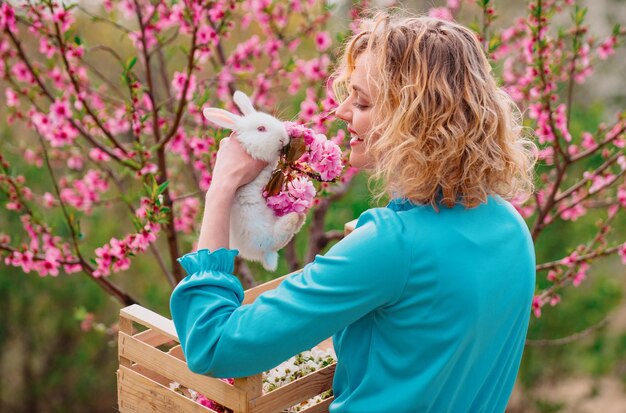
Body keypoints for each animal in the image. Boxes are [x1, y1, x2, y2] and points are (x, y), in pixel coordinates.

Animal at [202, 90, 304, 270]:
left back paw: (300, 216)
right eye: (261, 129)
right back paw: (293, 218)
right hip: (261, 234)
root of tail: (265, 256)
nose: (283, 139)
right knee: (278, 238)